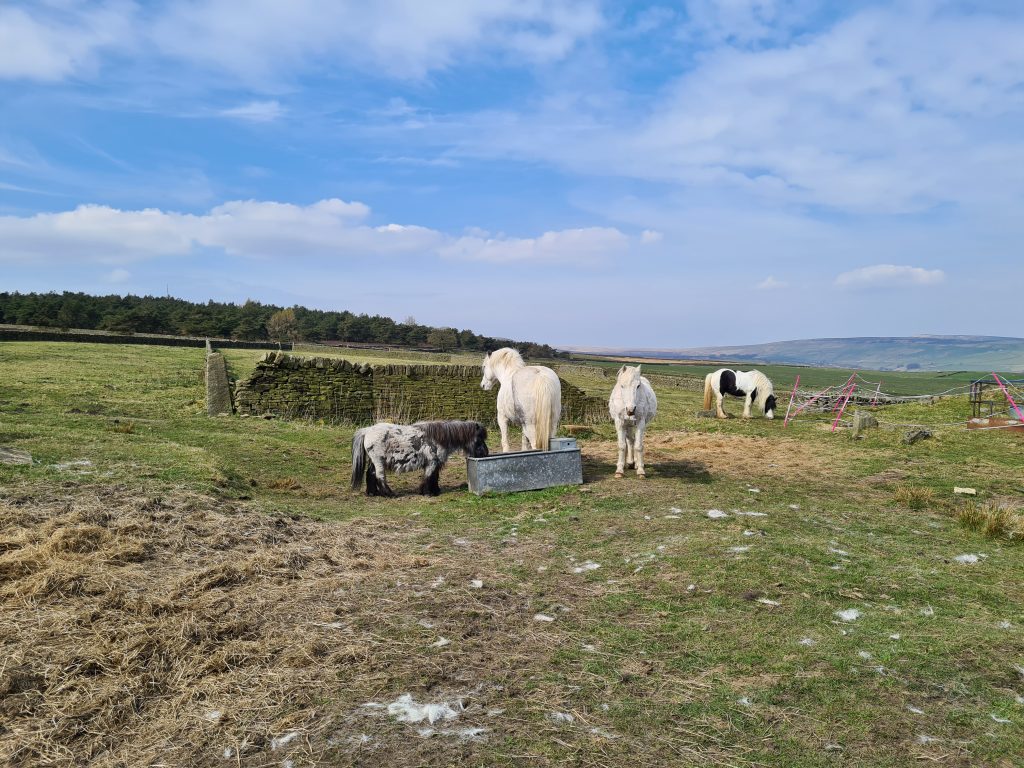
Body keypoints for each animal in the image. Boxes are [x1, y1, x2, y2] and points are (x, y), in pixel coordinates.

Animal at [350, 421, 489, 499]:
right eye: (480, 437)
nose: (485, 453)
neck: (438, 439)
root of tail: (367, 430)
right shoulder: (432, 462)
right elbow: (428, 477)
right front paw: (427, 493)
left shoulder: (435, 463)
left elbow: (434, 477)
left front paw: (434, 491)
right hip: (378, 461)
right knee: (379, 476)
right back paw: (389, 494)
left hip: (374, 461)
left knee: (370, 474)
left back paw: (372, 493)